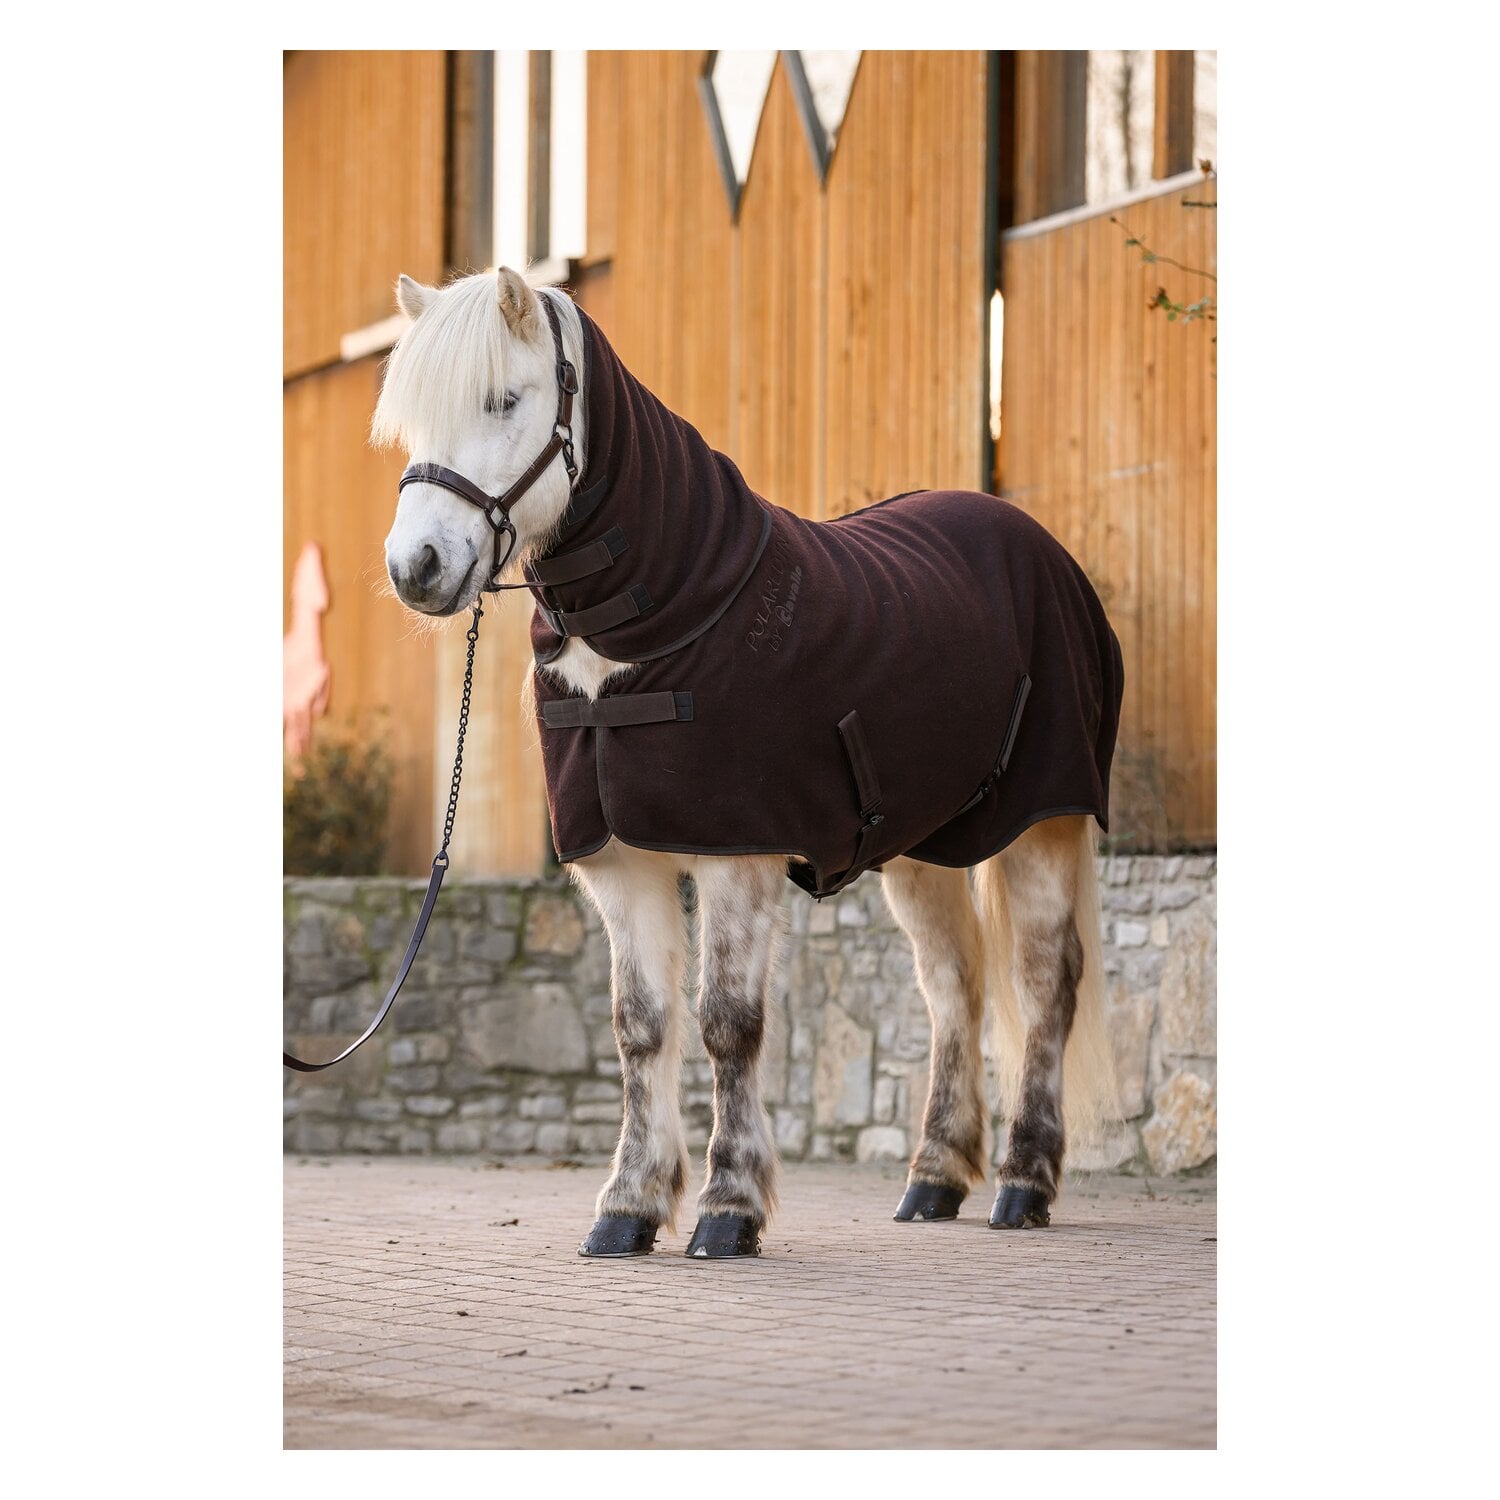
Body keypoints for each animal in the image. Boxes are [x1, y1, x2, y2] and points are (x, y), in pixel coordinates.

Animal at [374, 267, 1122, 1259]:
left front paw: (729, 1206)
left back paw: (1023, 1182)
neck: (662, 617)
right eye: (413, 420)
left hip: (1043, 822)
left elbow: (726, 1024)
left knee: (1041, 986)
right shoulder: (622, 864)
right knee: (952, 985)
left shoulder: (739, 855)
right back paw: (933, 1178)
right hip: (922, 851)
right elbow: (641, 1028)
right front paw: (629, 1205)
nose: (415, 568)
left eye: (503, 399)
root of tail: (1040, 548)